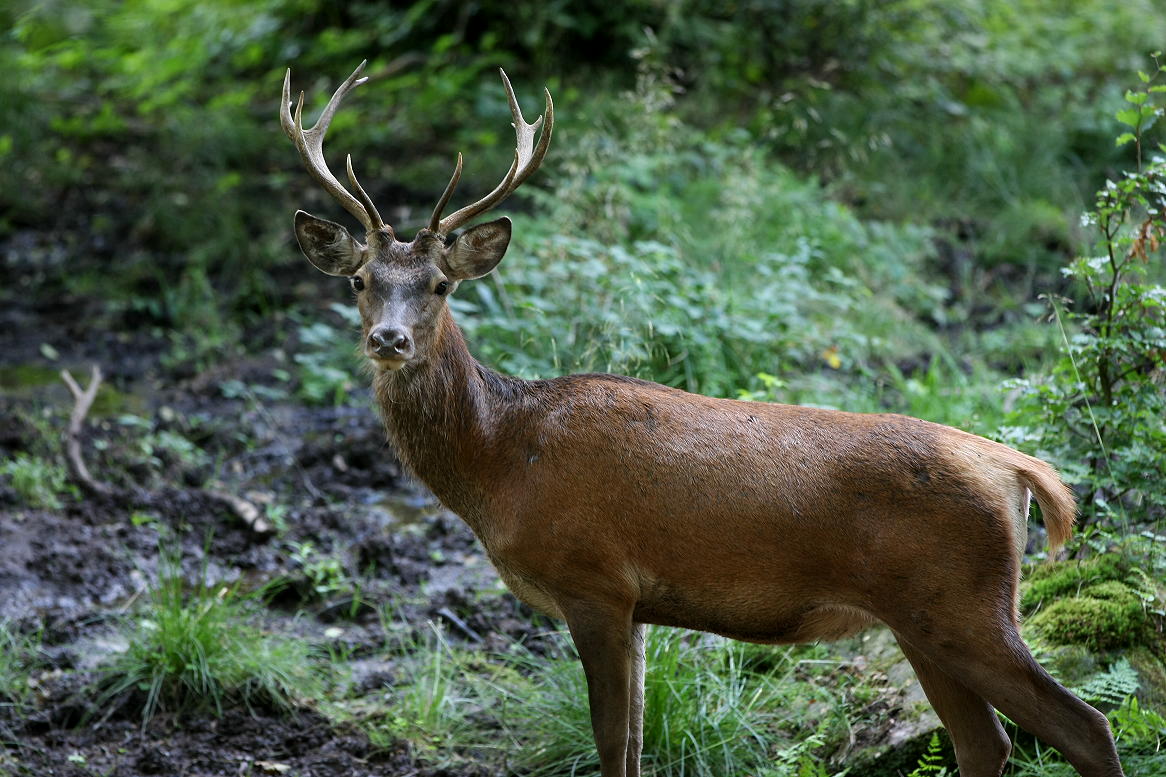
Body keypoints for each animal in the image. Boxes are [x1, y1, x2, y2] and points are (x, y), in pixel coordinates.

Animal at [277, 62, 1124, 774]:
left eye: (441, 285)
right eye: (360, 280)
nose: (389, 339)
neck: (501, 458)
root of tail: (1014, 467)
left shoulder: (593, 580)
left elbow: (610, 740)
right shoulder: (637, 606)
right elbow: (634, 740)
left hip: (961, 603)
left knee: (1086, 725)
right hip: (928, 617)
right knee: (988, 745)